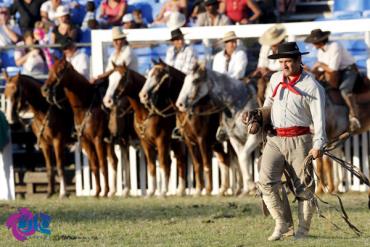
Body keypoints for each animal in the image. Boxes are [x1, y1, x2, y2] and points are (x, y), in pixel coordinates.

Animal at [41, 56, 118, 197]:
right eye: (50, 70)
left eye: (61, 70)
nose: (45, 90)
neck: (85, 105)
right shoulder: (85, 141)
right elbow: (94, 165)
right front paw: (97, 192)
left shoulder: (97, 139)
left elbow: (102, 164)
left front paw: (104, 191)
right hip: (109, 142)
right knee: (113, 160)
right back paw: (114, 191)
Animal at [102, 63, 186, 197]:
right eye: (109, 79)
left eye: (122, 78)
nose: (107, 101)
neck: (146, 112)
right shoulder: (144, 143)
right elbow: (151, 165)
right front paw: (151, 191)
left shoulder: (161, 140)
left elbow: (163, 163)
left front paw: (162, 192)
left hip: (176, 141)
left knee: (180, 160)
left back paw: (180, 190)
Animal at [139, 60, 240, 196]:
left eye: (159, 75)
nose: (143, 95)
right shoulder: (189, 141)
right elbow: (197, 165)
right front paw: (198, 190)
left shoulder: (202, 140)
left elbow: (206, 164)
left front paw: (208, 190)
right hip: (216, 143)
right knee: (225, 159)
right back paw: (224, 189)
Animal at [176, 63, 260, 195]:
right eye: (185, 80)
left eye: (195, 80)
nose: (180, 104)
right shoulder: (235, 139)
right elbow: (242, 159)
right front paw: (249, 188)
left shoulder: (254, 137)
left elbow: (243, 157)